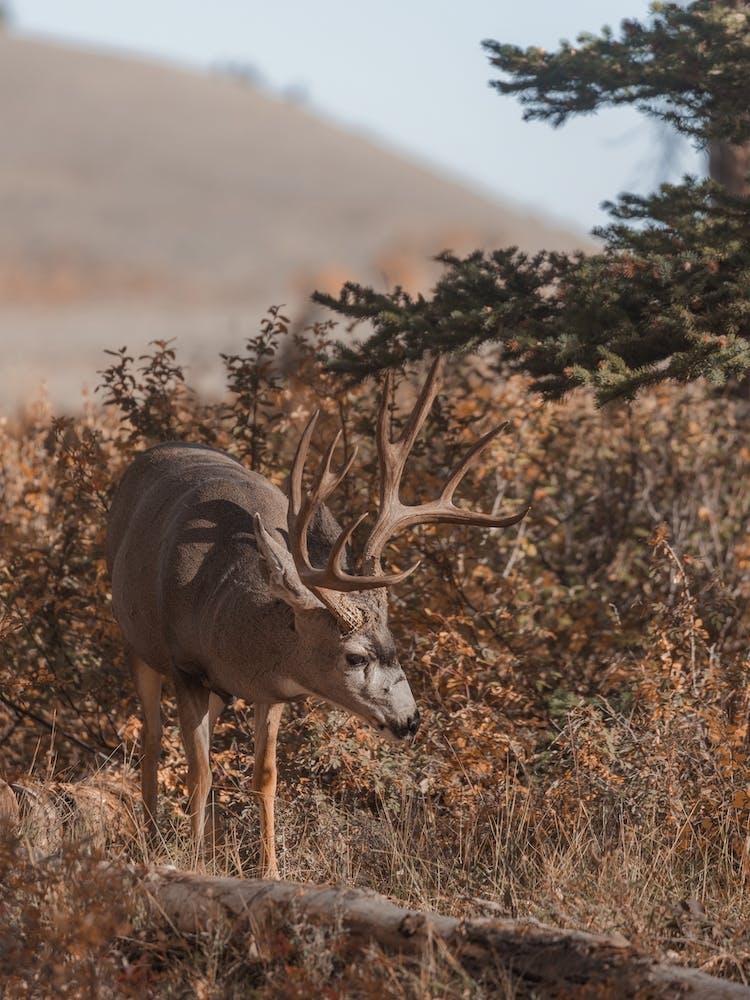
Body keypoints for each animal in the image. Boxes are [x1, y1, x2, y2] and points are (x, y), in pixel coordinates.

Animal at [106, 358, 527, 877]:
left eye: (394, 644)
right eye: (355, 657)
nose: (410, 721)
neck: (218, 614)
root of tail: (151, 452)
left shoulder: (272, 688)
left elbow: (264, 775)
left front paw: (269, 870)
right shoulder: (186, 668)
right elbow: (199, 773)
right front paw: (194, 861)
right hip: (135, 642)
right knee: (150, 740)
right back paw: (150, 834)